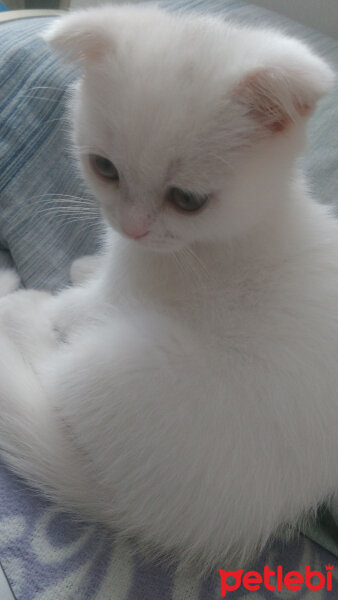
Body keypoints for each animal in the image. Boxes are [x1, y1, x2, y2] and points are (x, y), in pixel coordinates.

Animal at [0, 5, 338, 572]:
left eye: (187, 199)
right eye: (104, 167)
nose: (132, 227)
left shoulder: (126, 293)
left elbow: (81, 307)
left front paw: (56, 298)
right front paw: (88, 264)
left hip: (122, 363)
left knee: (56, 372)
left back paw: (22, 311)